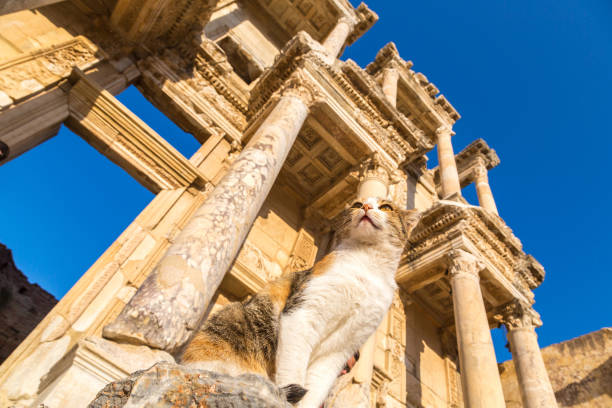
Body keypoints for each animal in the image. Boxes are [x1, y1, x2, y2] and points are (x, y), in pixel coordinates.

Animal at [179, 197, 418, 404]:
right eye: (357, 204)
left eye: (386, 207)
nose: (367, 207)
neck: (369, 264)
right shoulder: (304, 313)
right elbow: (293, 370)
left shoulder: (341, 348)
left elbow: (316, 389)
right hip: (231, 322)